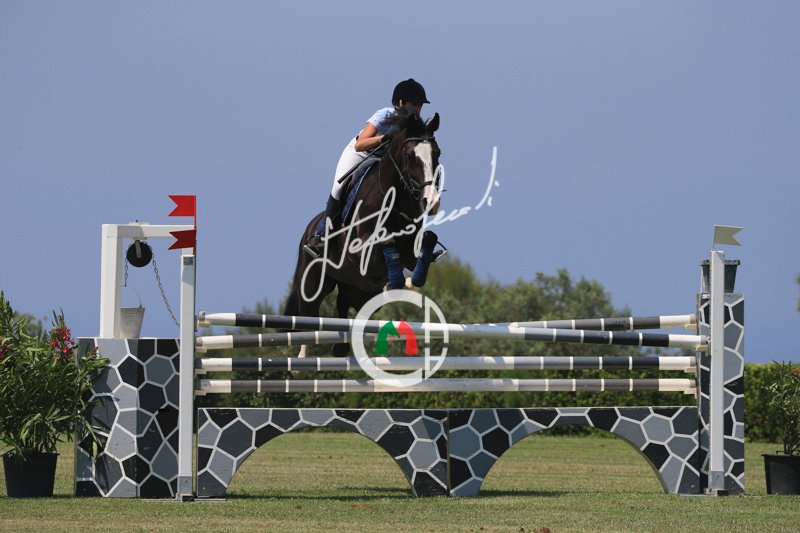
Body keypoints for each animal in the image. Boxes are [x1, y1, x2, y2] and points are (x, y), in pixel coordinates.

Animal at [284, 112, 443, 356]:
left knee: (343, 306)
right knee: (307, 318)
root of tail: (310, 228)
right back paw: (303, 358)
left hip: (357, 290)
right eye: (410, 156)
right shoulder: (359, 252)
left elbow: (425, 244)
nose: (431, 202)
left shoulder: (409, 251)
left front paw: (408, 282)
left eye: (437, 153)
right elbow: (385, 247)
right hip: (312, 284)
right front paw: (398, 281)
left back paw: (341, 347)